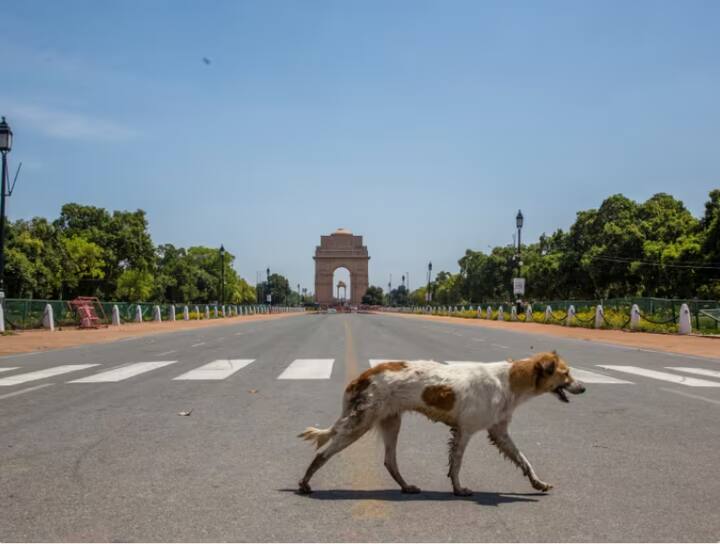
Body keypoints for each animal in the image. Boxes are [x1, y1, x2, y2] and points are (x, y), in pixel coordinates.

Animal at [298, 350, 584, 496]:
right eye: (566, 374)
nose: (583, 388)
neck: (510, 380)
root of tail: (364, 374)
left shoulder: (499, 432)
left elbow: (524, 460)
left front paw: (538, 483)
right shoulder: (465, 430)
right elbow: (456, 464)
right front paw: (458, 489)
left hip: (391, 421)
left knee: (390, 461)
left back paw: (406, 486)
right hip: (361, 422)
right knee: (323, 453)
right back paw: (304, 483)